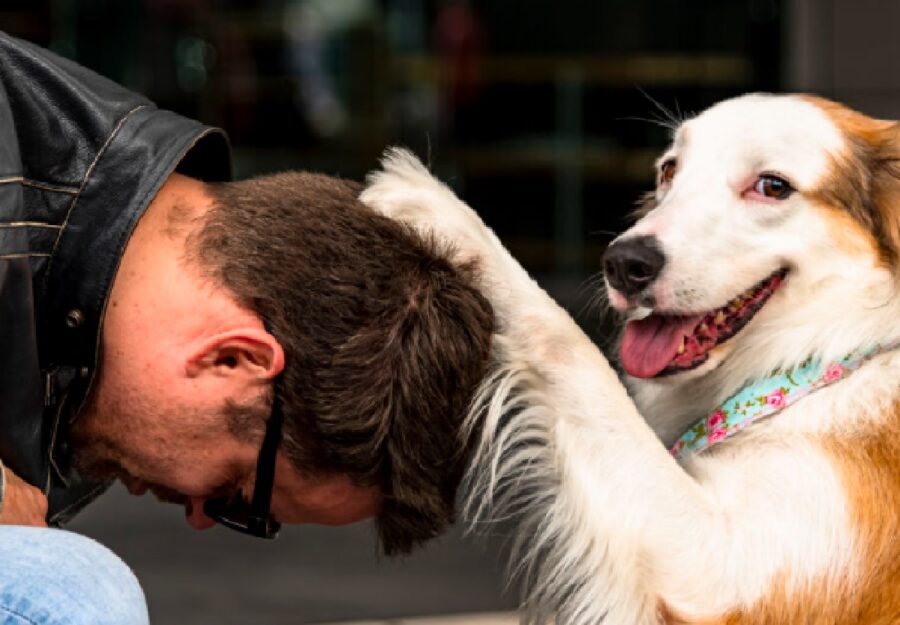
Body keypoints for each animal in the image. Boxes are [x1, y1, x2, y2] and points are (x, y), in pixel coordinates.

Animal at [358, 92, 900, 624]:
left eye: (772, 186)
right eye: (669, 171)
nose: (623, 263)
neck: (831, 349)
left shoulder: (721, 570)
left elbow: (571, 345)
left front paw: (448, 216)